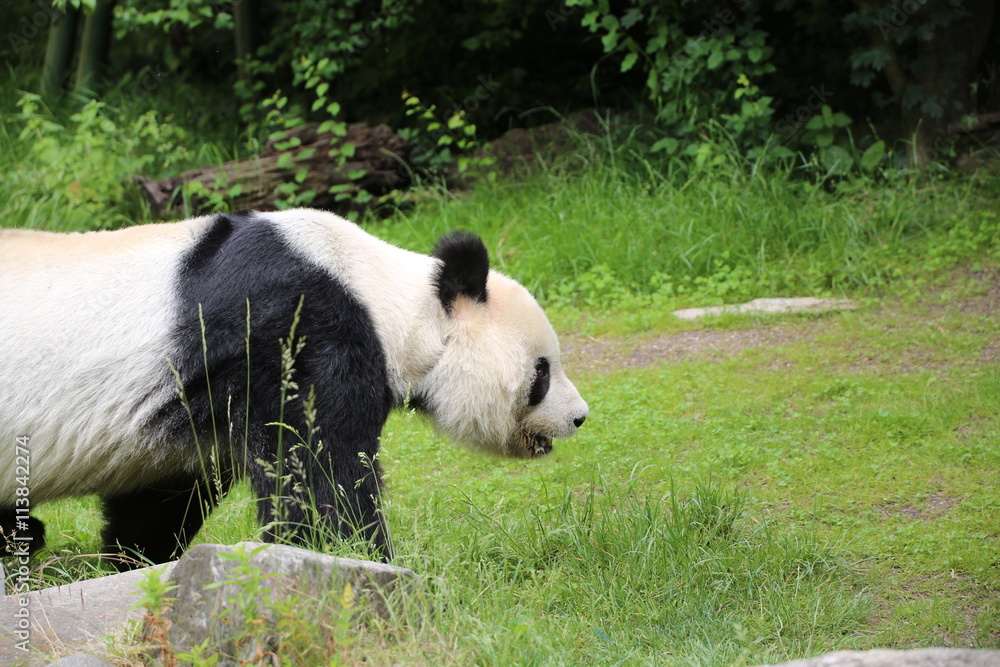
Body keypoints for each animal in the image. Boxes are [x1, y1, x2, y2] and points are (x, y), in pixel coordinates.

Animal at [0, 208, 588, 569]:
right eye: (542, 372)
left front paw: (138, 560)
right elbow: (319, 469)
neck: (384, 294)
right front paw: (355, 556)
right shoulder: (297, 333)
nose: (579, 416)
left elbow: (162, 496)